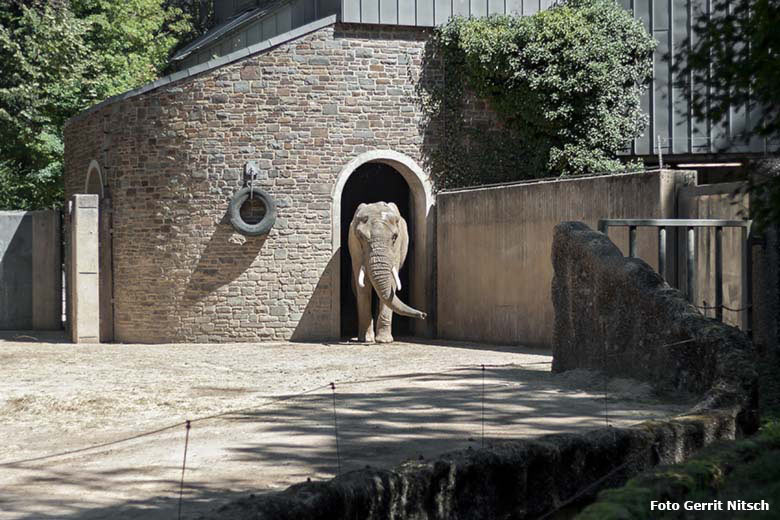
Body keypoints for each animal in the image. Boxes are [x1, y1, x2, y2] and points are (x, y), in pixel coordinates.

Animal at [348, 201, 426, 344]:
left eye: (394, 237)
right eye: (361, 237)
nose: (423, 315)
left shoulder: (396, 249)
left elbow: (392, 282)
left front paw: (384, 341)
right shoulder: (354, 246)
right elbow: (363, 286)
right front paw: (366, 339)